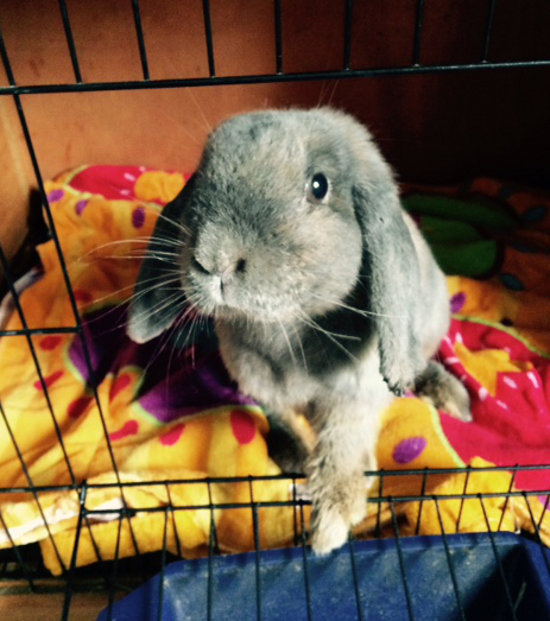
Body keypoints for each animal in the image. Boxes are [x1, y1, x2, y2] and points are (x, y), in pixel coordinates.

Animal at [127, 106, 472, 552]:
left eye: (319, 185)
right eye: (202, 175)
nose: (214, 260)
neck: (285, 330)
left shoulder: (354, 398)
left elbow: (341, 454)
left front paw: (328, 528)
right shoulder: (260, 386)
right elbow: (284, 421)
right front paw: (295, 460)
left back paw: (450, 399)